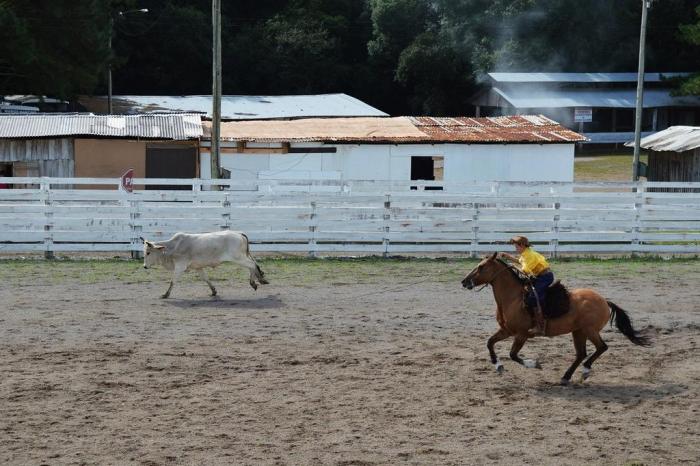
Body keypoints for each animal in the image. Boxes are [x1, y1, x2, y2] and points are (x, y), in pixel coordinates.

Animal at [140, 230, 268, 298]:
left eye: (148, 252)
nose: (144, 266)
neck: (172, 247)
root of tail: (239, 233)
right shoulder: (198, 267)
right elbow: (205, 278)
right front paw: (213, 291)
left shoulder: (180, 267)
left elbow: (173, 281)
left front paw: (166, 294)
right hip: (242, 257)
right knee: (254, 265)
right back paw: (259, 279)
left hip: (238, 258)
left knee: (252, 265)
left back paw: (255, 282)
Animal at [460, 253, 652, 384]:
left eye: (481, 267)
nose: (464, 281)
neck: (513, 298)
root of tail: (605, 301)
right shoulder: (506, 330)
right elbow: (490, 343)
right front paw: (498, 365)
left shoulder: (521, 334)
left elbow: (513, 354)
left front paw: (534, 364)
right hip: (578, 332)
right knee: (581, 353)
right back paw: (566, 377)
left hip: (589, 330)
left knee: (601, 347)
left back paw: (585, 371)